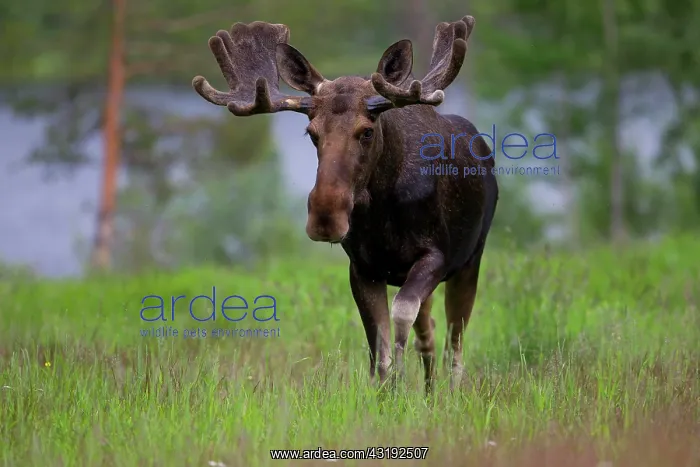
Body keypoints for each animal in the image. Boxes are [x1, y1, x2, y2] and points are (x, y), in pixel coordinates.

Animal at [192, 15, 499, 392]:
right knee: (429, 331)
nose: (326, 216)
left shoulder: (436, 255)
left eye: (367, 130)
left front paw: (401, 381)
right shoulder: (362, 268)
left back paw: (449, 392)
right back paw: (428, 391)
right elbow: (380, 350)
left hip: (470, 260)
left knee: (454, 341)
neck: (384, 213)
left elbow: (401, 315)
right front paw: (388, 392)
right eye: (311, 132)